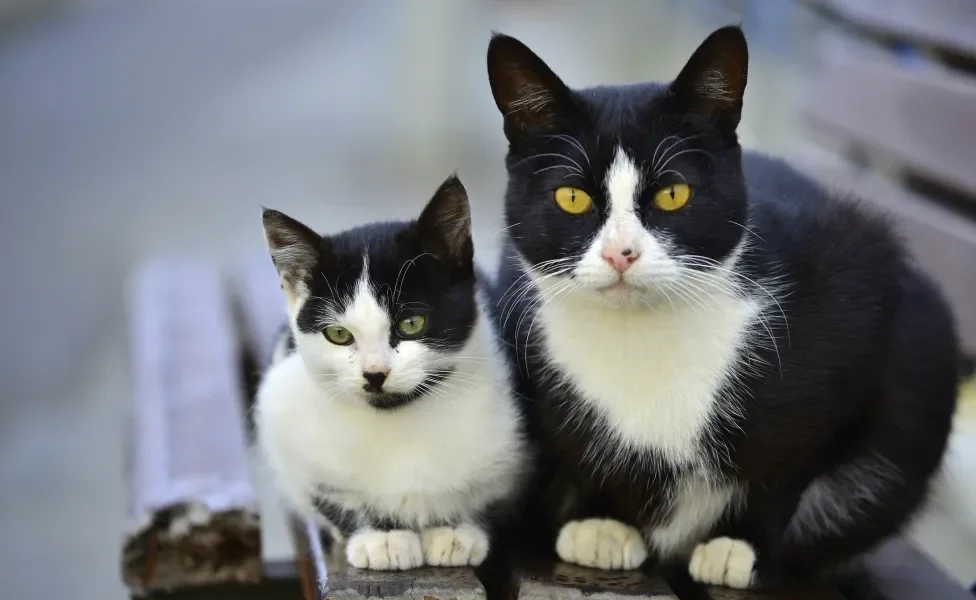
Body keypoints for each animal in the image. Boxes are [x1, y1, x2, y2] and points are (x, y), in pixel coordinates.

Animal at [252, 175, 528, 572]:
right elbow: (327, 491)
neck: (397, 423)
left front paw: (456, 528)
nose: (374, 373)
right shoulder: (285, 417)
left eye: (411, 324)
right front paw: (379, 536)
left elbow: (487, 492)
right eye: (338, 334)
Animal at [484, 24, 956, 592]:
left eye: (673, 193)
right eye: (572, 198)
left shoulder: (853, 312)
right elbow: (579, 449)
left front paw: (738, 544)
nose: (622, 253)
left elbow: (789, 461)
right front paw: (601, 523)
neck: (642, 341)